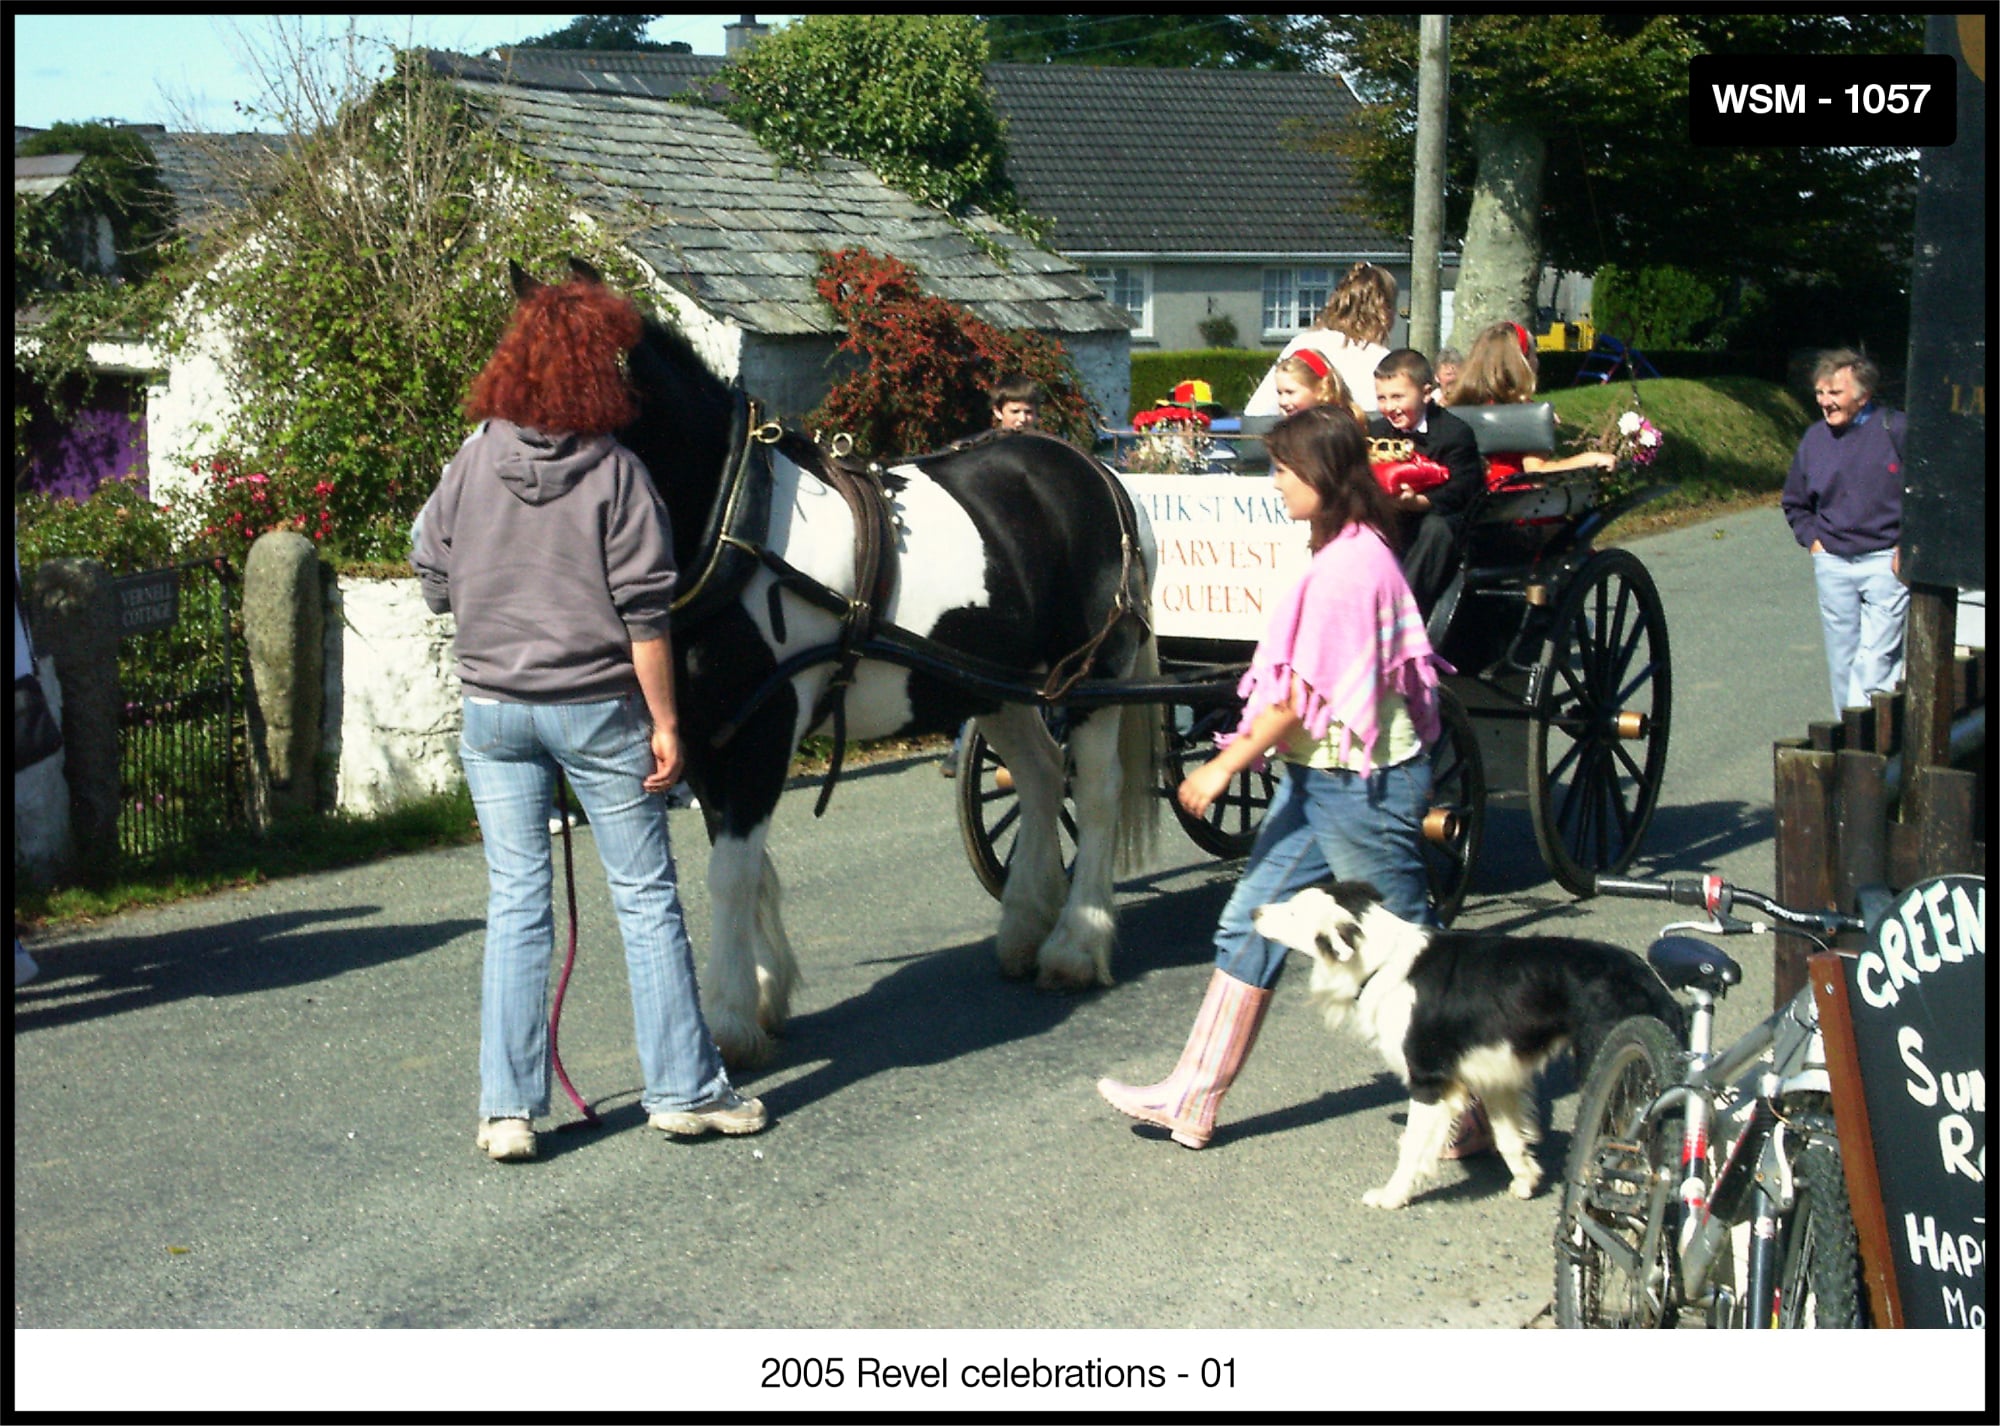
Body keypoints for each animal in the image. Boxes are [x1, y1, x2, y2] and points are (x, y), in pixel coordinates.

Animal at [540, 270, 1160, 1072]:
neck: (732, 529)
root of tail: (1102, 475)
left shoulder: (762, 732)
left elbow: (732, 874)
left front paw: (732, 1019)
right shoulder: (709, 737)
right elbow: (749, 867)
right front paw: (767, 993)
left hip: (1092, 677)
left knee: (1100, 788)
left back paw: (1076, 944)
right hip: (995, 684)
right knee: (1041, 775)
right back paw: (1026, 927)